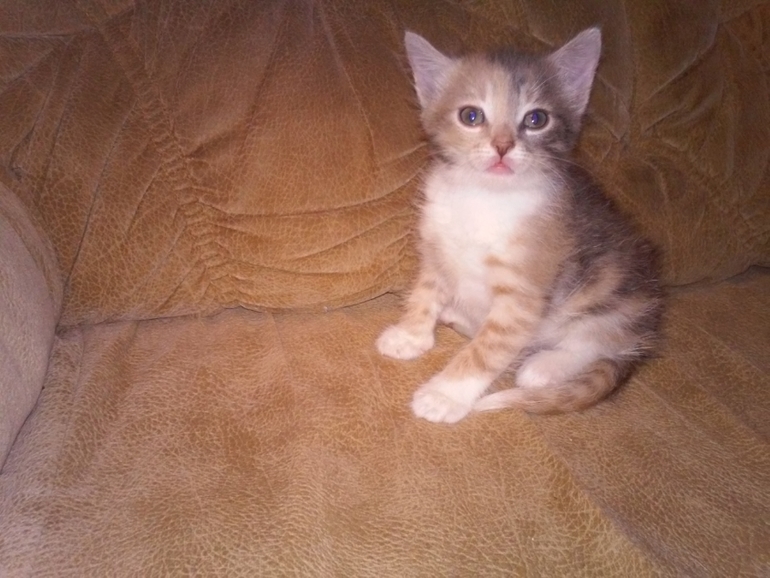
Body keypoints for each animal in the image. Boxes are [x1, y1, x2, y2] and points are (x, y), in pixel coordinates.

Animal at [376, 28, 663, 423]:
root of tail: (644, 335)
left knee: (597, 341)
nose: (502, 147)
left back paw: (544, 367)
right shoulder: (436, 249)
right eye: (471, 115)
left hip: (615, 293)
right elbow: (425, 291)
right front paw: (411, 335)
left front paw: (445, 394)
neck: (484, 196)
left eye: (536, 119)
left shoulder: (525, 292)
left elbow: (488, 348)